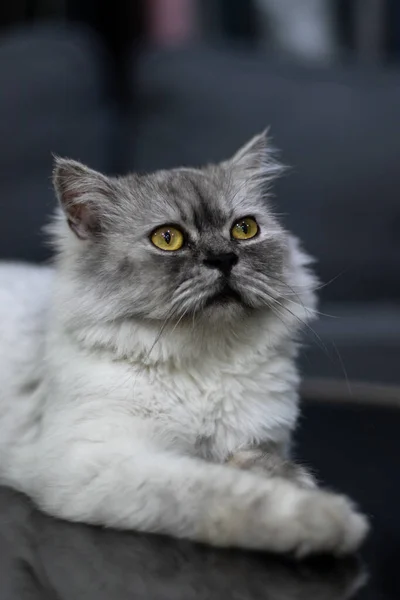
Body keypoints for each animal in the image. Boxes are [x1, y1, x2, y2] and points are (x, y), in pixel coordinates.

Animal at [0, 132, 368, 556]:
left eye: (244, 229)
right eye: (167, 238)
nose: (224, 258)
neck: (202, 363)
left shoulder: (259, 441)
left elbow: (267, 468)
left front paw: (301, 486)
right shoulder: (100, 460)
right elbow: (223, 493)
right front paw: (330, 519)